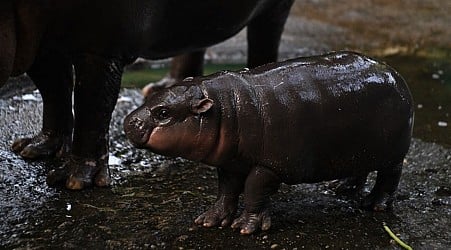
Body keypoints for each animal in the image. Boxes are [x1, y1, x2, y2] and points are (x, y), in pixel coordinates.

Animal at [0, 0, 294, 188]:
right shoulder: (38, 44)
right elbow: (55, 91)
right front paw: (33, 149)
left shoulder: (101, 48)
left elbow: (91, 106)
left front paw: (74, 180)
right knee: (194, 40)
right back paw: (163, 87)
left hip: (275, 9)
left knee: (265, 37)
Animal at [122, 51, 414, 235]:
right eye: (154, 94)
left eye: (163, 112)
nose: (128, 121)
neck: (226, 109)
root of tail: (394, 73)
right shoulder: (231, 163)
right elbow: (226, 190)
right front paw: (209, 220)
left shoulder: (269, 166)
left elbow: (253, 189)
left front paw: (245, 227)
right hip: (357, 147)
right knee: (359, 168)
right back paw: (341, 188)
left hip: (393, 153)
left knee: (390, 176)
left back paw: (374, 205)